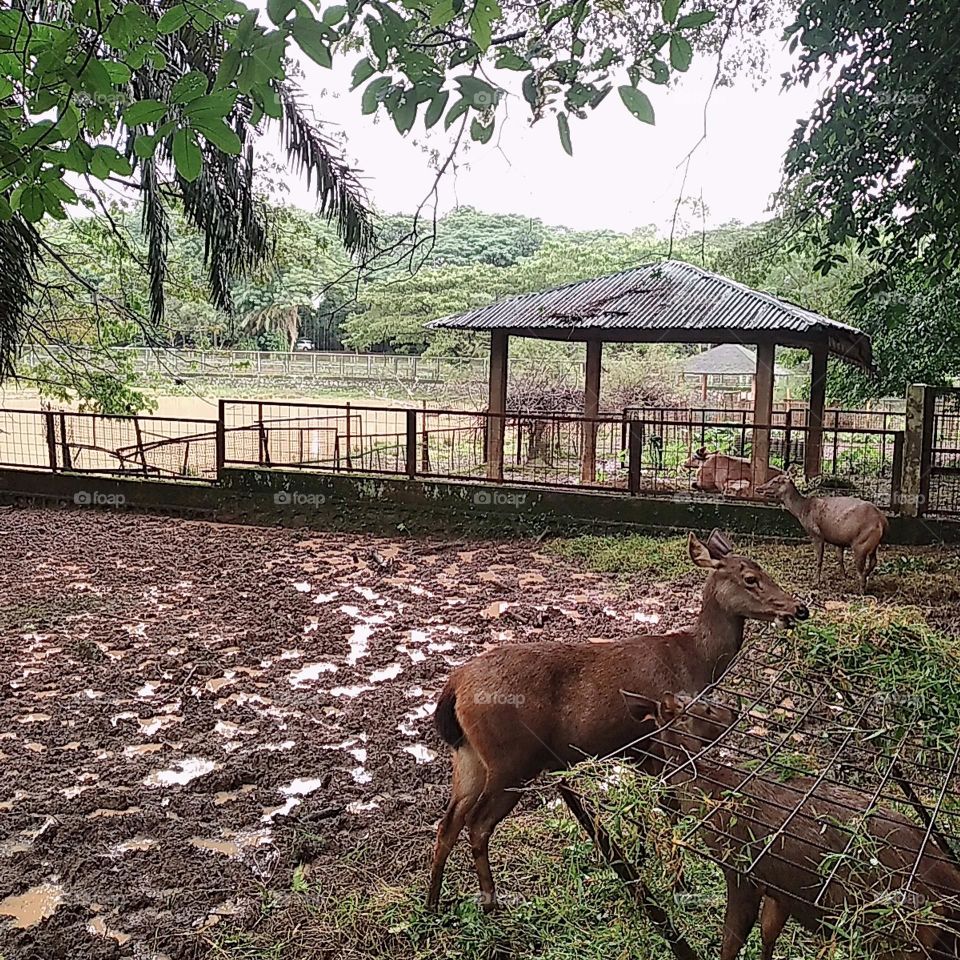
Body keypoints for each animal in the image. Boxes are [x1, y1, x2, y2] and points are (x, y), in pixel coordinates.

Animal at [426, 530, 808, 912]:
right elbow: (669, 811)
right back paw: (490, 902)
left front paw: (641, 859)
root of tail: (455, 686)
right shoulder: (661, 742)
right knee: (477, 824)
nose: (798, 608)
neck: (695, 661)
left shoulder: (637, 750)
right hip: (512, 759)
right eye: (750, 578)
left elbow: (643, 811)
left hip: (469, 756)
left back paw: (432, 903)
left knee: (448, 823)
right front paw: (678, 884)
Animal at [622, 691, 960, 960]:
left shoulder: (742, 870)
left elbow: (731, 943)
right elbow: (767, 934)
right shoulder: (777, 887)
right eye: (705, 708)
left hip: (893, 932)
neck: (714, 790)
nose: (734, 709)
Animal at [756, 472, 888, 592]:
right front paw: (843, 576)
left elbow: (819, 558)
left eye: (775, 481)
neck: (802, 510)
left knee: (861, 568)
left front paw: (816, 581)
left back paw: (861, 589)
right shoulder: (839, 539)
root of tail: (882, 521)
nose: (758, 488)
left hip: (860, 543)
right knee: (873, 561)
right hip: (871, 544)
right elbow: (839, 557)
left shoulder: (816, 533)